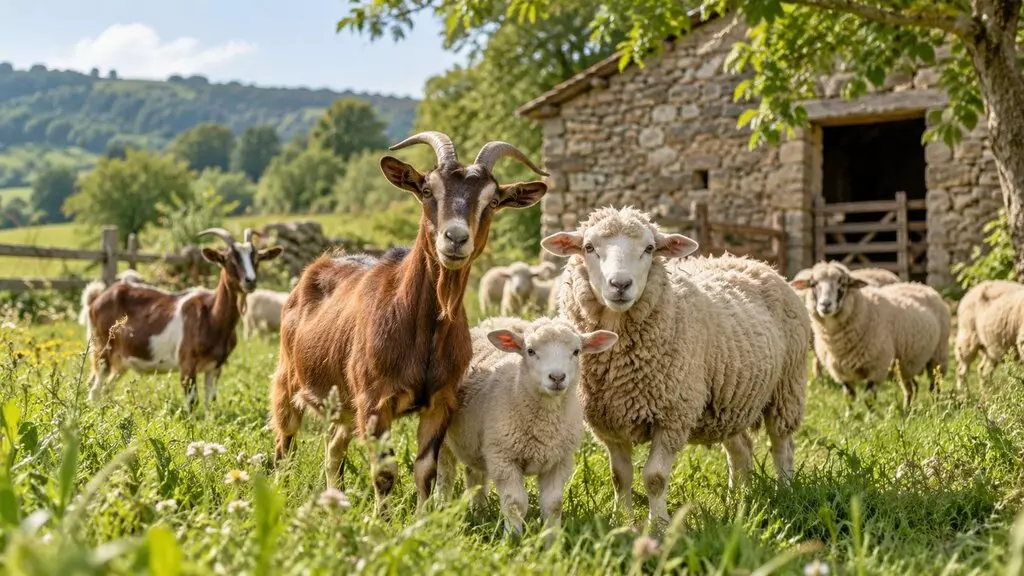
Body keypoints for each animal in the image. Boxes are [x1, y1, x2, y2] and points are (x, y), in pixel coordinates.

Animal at [85, 228, 282, 411]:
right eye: (230, 261)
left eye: (256, 260)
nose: (250, 281)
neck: (212, 317)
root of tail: (97, 298)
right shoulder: (187, 364)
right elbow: (192, 403)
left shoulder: (215, 367)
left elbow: (210, 402)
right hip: (103, 349)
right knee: (95, 389)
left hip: (121, 360)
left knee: (107, 388)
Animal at [270, 131, 548, 512]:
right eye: (428, 190)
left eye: (492, 201)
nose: (455, 238)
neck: (424, 330)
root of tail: (318, 266)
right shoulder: (374, 401)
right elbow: (384, 472)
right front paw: (382, 522)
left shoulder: (440, 402)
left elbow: (425, 469)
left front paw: (421, 518)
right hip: (289, 379)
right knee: (284, 443)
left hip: (344, 402)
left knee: (333, 449)